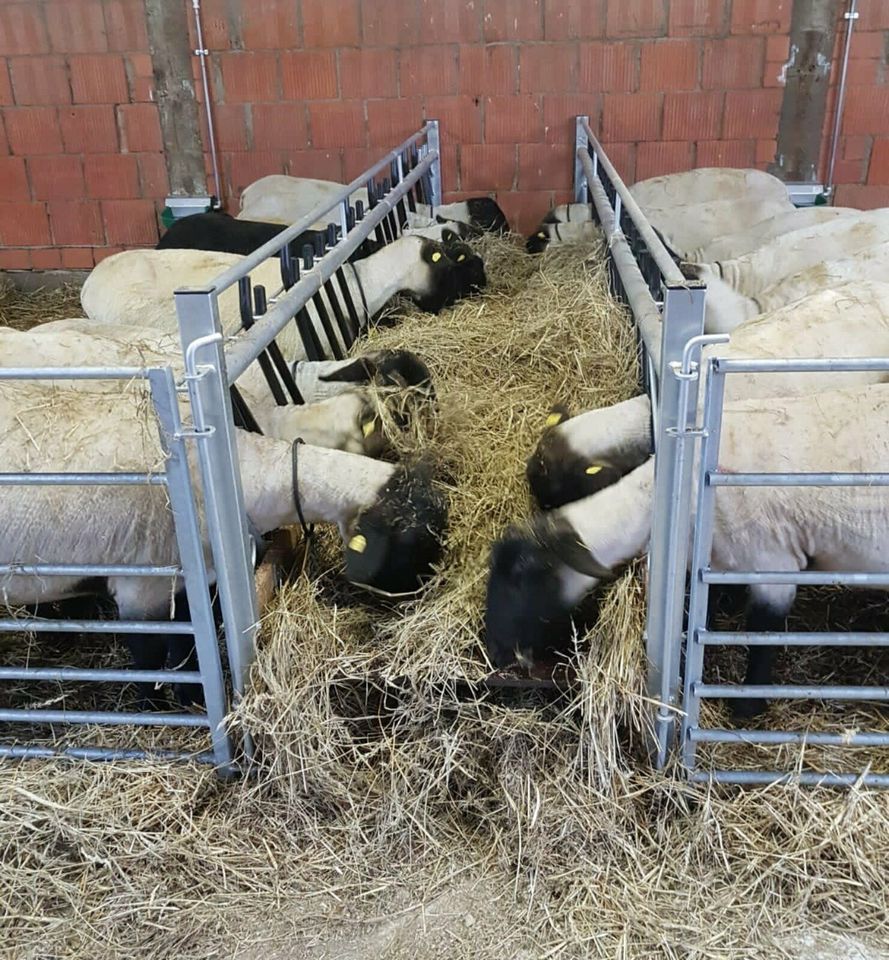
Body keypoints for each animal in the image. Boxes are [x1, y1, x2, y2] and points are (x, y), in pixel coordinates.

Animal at [0, 382, 448, 704]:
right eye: (408, 546)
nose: (417, 602)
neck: (230, 478)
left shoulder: (184, 587)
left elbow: (186, 650)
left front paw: (190, 697)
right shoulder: (142, 588)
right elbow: (149, 656)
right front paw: (156, 707)